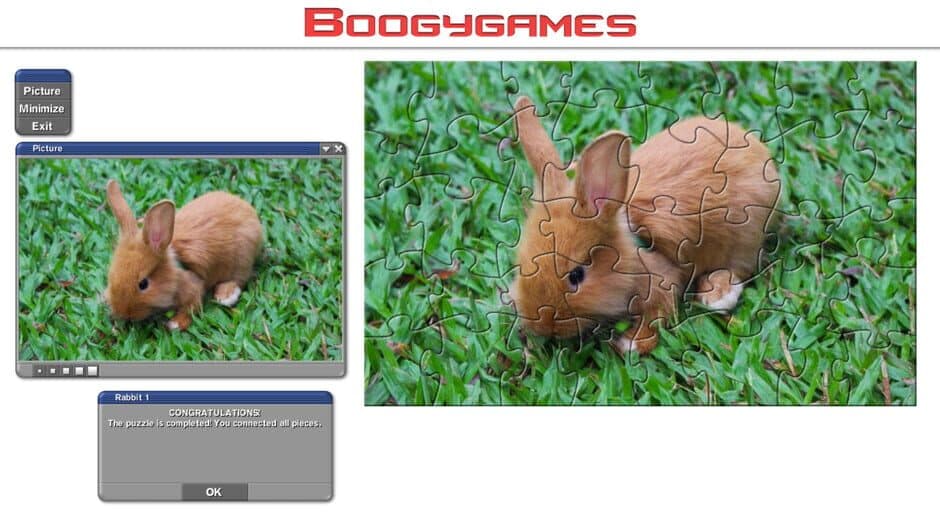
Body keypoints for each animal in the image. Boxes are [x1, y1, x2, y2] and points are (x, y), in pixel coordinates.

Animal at [103, 180, 263, 331]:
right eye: (111, 276)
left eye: (143, 284)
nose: (123, 313)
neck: (176, 273)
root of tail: (248, 209)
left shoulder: (193, 287)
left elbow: (191, 308)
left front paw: (175, 324)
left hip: (242, 257)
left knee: (239, 278)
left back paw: (226, 296)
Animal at [509, 96, 781, 354]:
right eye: (520, 265)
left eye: (576, 275)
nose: (541, 326)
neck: (630, 253)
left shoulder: (661, 282)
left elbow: (655, 316)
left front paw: (630, 344)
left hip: (743, 236)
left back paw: (717, 296)